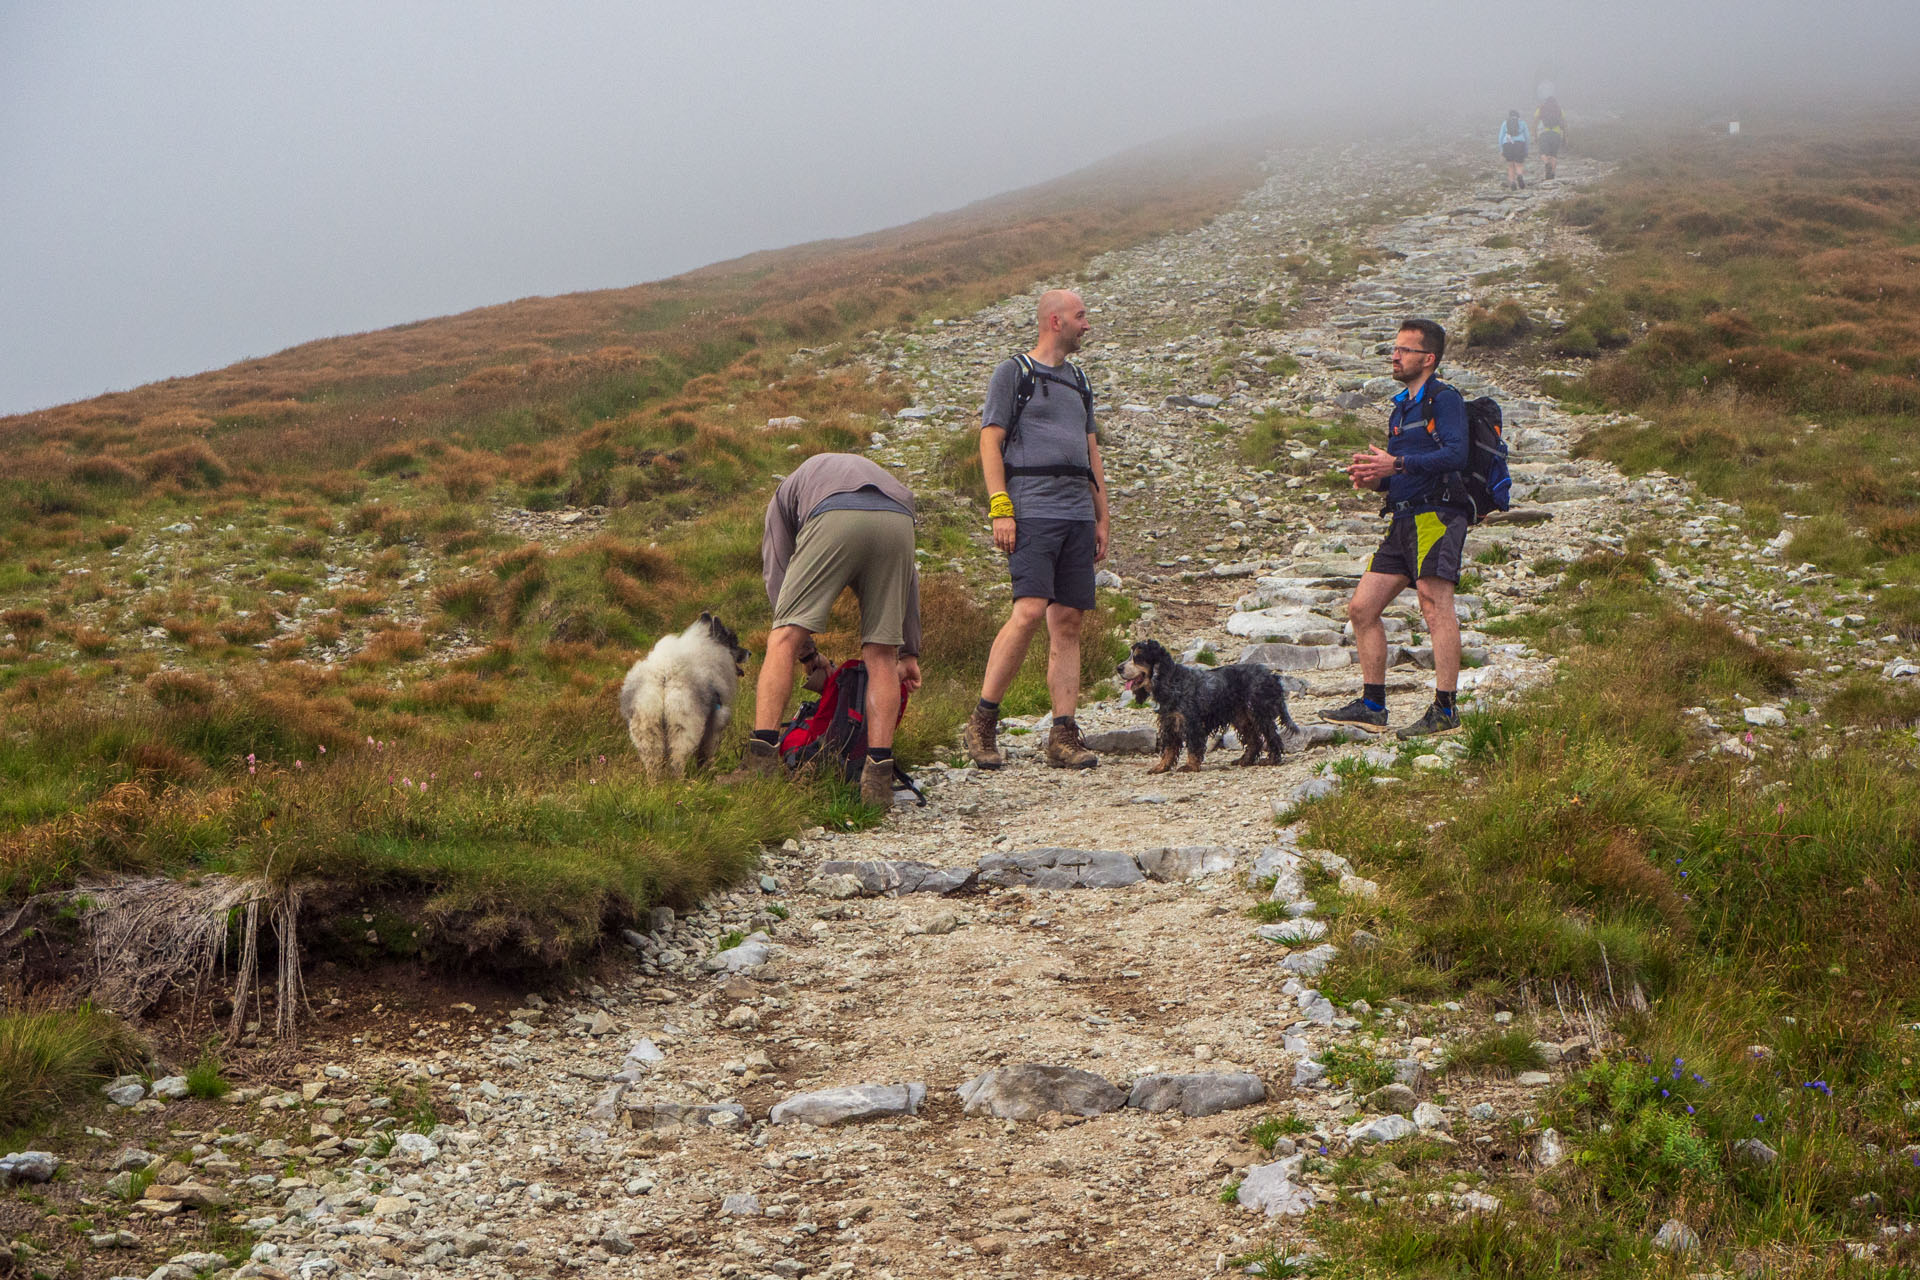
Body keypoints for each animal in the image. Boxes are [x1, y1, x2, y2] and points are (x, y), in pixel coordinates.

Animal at [625, 614, 752, 782]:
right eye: (734, 642)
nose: (749, 653)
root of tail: (664, 676)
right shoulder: (714, 726)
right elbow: (705, 755)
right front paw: (706, 772)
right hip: (684, 727)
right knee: (677, 760)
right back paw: (680, 782)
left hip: (647, 727)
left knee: (654, 762)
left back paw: (655, 783)